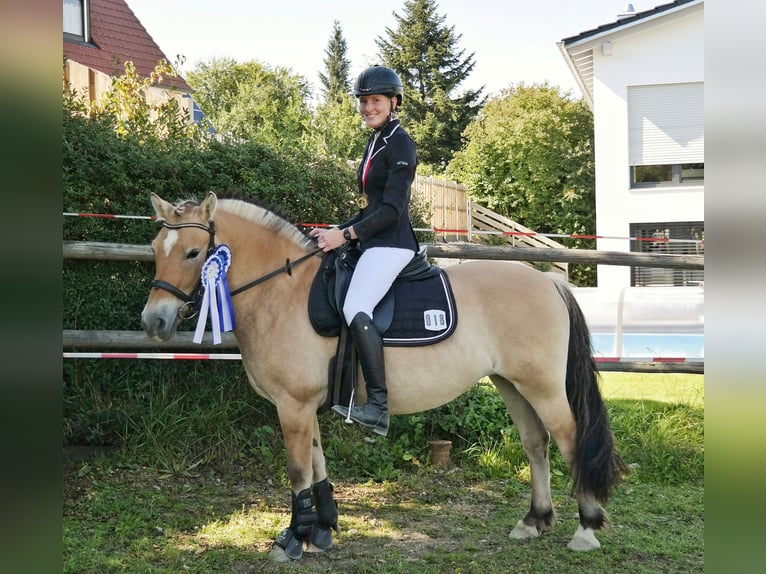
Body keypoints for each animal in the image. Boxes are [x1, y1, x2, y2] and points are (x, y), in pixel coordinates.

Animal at [141, 194, 628, 564]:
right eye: (155, 248)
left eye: (193, 253)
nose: (154, 322)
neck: (283, 290)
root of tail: (548, 282)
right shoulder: (306, 405)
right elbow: (318, 463)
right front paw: (322, 531)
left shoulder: (292, 405)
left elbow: (298, 471)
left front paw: (293, 539)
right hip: (511, 384)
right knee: (535, 443)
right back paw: (534, 521)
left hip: (542, 386)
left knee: (569, 439)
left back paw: (586, 527)